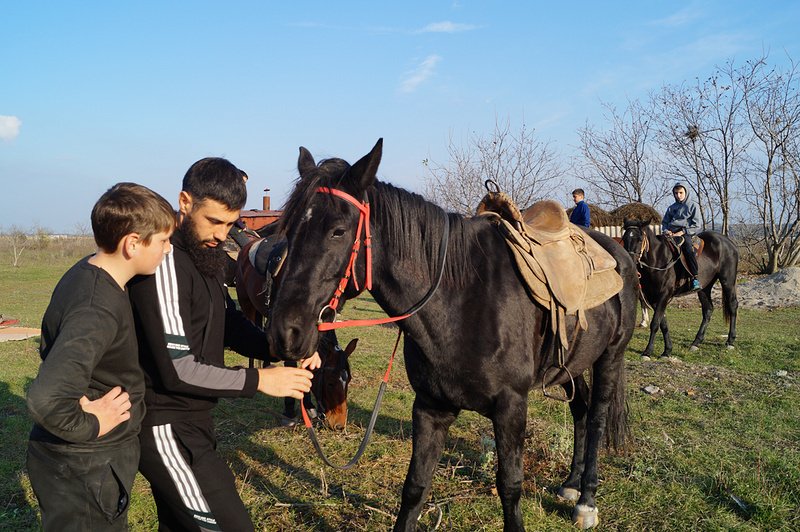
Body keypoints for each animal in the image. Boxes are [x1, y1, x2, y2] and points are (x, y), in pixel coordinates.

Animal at [231, 222, 356, 430]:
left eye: (349, 380)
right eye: (330, 383)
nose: (339, 424)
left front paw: (309, 406)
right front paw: (291, 409)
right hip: (247, 305)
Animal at [268, 139, 636, 528]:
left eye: (338, 230)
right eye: (288, 229)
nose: (284, 331)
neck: (462, 301)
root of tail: (618, 251)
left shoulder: (511, 407)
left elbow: (510, 487)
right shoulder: (431, 407)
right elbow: (415, 487)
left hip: (611, 356)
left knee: (596, 418)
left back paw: (586, 500)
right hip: (573, 364)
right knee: (580, 410)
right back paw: (570, 484)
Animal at [620, 218, 740, 360]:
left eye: (639, 239)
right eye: (624, 238)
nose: (630, 261)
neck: (658, 259)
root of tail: (728, 242)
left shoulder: (664, 295)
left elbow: (655, 323)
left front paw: (647, 352)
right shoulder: (654, 298)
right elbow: (663, 323)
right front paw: (667, 351)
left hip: (727, 281)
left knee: (732, 305)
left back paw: (730, 341)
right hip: (704, 288)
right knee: (708, 310)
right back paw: (696, 342)